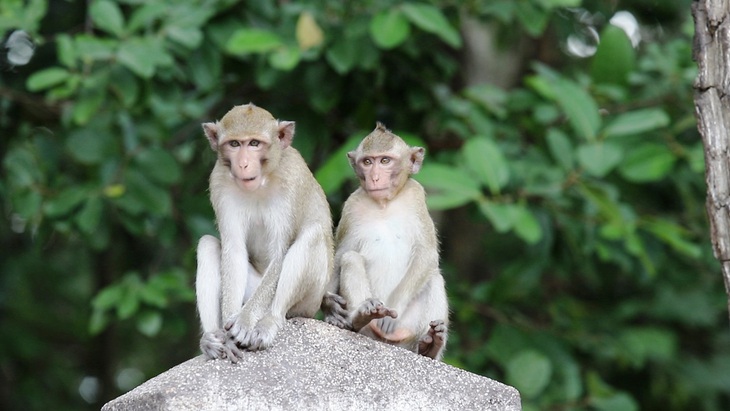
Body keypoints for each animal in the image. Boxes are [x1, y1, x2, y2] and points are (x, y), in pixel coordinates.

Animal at [193, 104, 330, 362]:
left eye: (255, 143)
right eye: (235, 144)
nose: (243, 164)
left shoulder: (291, 180)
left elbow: (279, 254)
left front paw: (245, 322)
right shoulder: (219, 182)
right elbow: (234, 251)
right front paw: (229, 331)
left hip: (308, 301)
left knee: (313, 236)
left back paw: (269, 321)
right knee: (207, 244)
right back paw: (211, 338)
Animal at [326, 122, 450, 360]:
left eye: (385, 161)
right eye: (367, 162)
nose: (374, 177)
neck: (384, 204)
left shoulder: (416, 197)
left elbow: (426, 254)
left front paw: (396, 309)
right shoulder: (351, 207)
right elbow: (341, 255)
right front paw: (327, 304)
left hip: (409, 330)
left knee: (434, 277)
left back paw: (431, 345)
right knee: (351, 258)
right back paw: (363, 316)